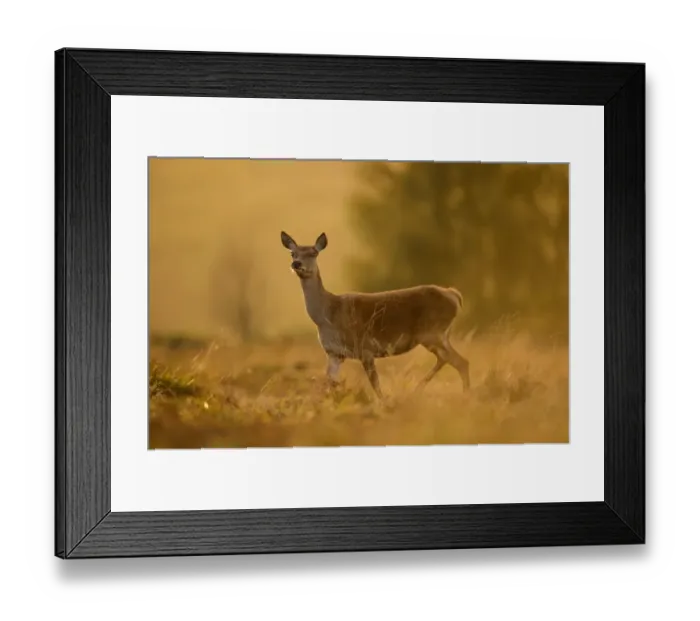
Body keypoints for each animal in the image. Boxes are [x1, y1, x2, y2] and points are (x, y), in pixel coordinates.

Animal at [280, 231, 470, 399]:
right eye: (293, 253)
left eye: (314, 253)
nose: (296, 264)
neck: (327, 315)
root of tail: (454, 295)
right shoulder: (334, 353)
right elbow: (329, 384)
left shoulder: (365, 347)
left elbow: (376, 385)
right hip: (438, 335)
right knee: (450, 360)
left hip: (432, 332)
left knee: (460, 361)